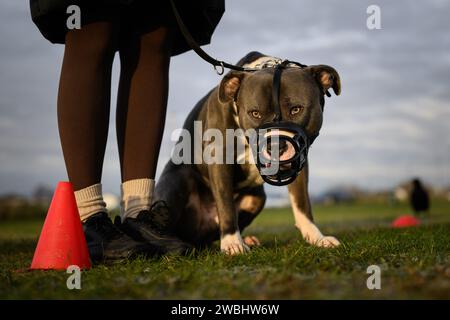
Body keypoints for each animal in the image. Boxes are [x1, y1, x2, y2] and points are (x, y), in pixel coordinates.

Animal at [154, 50, 342, 255]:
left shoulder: (299, 160)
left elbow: (302, 202)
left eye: (296, 109)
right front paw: (232, 243)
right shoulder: (220, 160)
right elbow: (226, 204)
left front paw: (317, 238)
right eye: (255, 113)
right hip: (176, 183)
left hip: (257, 198)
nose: (275, 145)